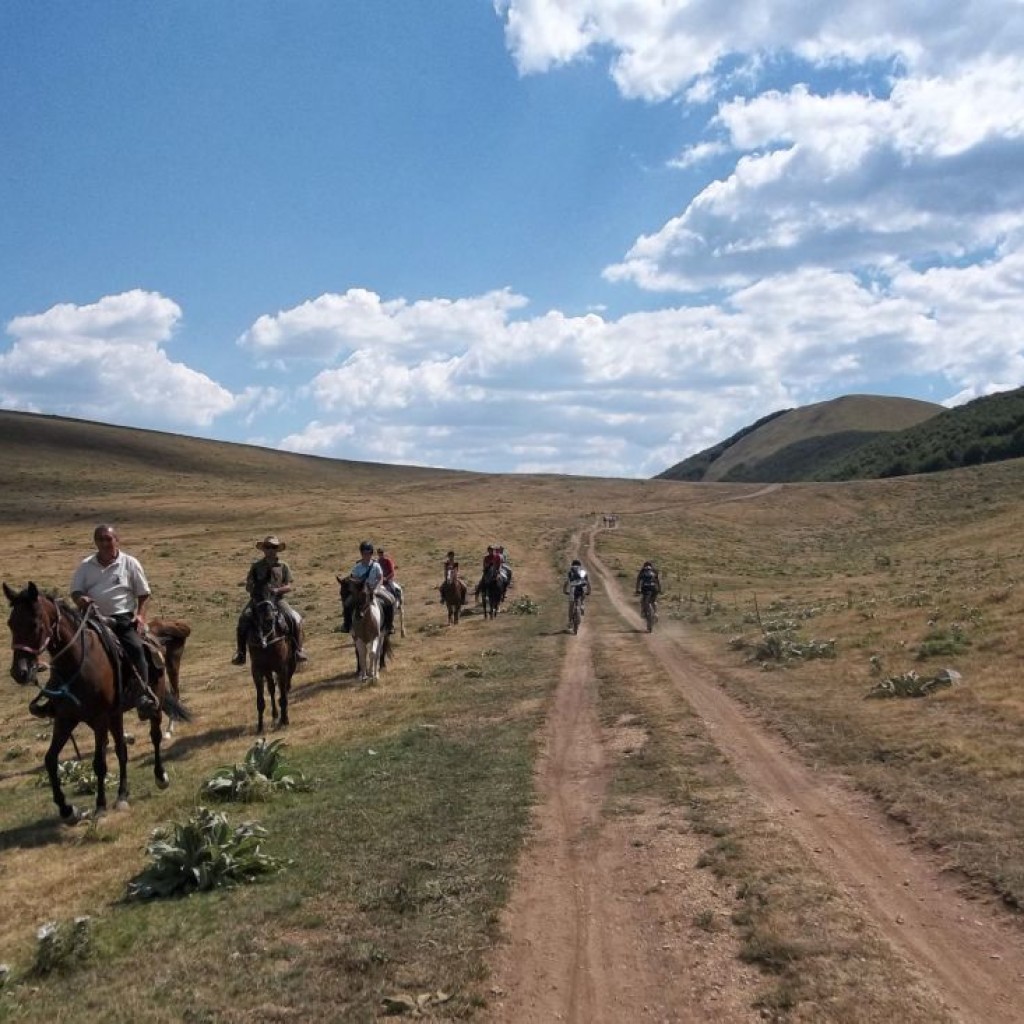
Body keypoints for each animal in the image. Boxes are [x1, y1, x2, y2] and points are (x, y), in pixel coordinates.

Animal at [3, 585, 192, 823]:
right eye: (11, 623)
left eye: (35, 624)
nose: (19, 672)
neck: (77, 663)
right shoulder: (66, 718)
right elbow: (50, 760)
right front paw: (67, 810)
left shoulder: (99, 718)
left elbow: (99, 763)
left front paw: (100, 806)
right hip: (116, 715)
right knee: (121, 750)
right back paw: (122, 796)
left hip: (153, 704)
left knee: (155, 736)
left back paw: (160, 776)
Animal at [244, 581, 296, 733]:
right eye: (255, 595)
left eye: (272, 593)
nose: (268, 620)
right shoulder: (257, 670)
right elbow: (261, 700)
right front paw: (260, 726)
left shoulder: (282, 668)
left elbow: (283, 694)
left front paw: (285, 720)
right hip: (268, 671)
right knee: (272, 689)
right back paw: (275, 716)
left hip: (290, 665)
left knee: (285, 688)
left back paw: (282, 717)